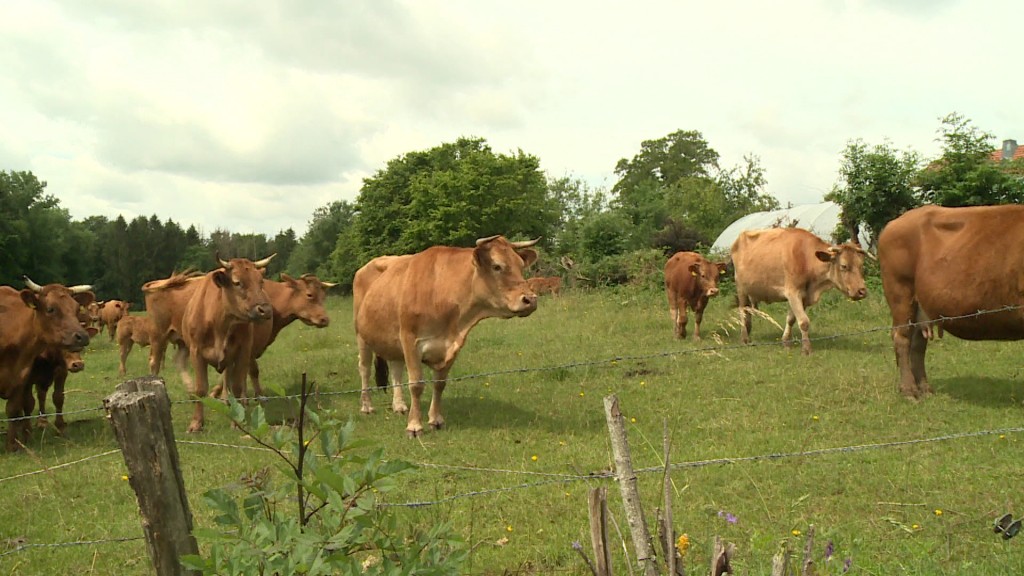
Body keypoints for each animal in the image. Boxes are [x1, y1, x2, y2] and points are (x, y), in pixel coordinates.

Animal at [0, 276, 94, 450]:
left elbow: (14, 409)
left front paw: (13, 445)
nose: (83, 336)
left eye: (77, 309)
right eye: (51, 309)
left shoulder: (21, 378)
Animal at [174, 254, 274, 430]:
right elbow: (200, 389)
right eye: (237, 282)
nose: (265, 310)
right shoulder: (196, 352)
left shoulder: (242, 351)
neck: (219, 321)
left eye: (261, 281)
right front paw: (196, 423)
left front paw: (237, 421)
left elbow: (237, 387)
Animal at [354, 233, 540, 434]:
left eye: (521, 266)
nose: (530, 299)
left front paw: (436, 420)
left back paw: (399, 406)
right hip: (361, 336)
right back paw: (367, 406)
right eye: (497, 266)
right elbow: (416, 384)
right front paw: (414, 425)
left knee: (396, 369)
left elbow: (439, 384)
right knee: (364, 369)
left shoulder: (452, 344)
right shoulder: (410, 339)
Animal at [733, 226, 868, 352]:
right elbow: (804, 321)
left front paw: (786, 342)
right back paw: (744, 339)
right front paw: (806, 349)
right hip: (741, 288)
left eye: (861, 265)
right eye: (844, 266)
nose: (862, 291)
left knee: (747, 311)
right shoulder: (793, 292)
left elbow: (791, 319)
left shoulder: (804, 296)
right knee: (742, 311)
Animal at [876, 203, 1024, 397]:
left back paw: (925, 389)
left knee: (917, 344)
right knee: (902, 338)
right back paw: (909, 390)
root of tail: (895, 222)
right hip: (900, 292)